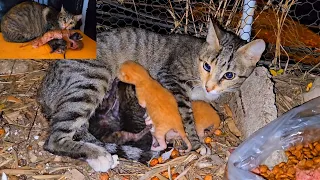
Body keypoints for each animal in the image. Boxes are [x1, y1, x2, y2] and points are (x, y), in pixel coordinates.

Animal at [37, 19, 264, 172]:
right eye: (207, 66)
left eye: (229, 75)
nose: (210, 87)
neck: (196, 59)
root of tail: (43, 91)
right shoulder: (172, 79)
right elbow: (187, 116)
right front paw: (197, 143)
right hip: (91, 81)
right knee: (55, 139)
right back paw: (99, 155)